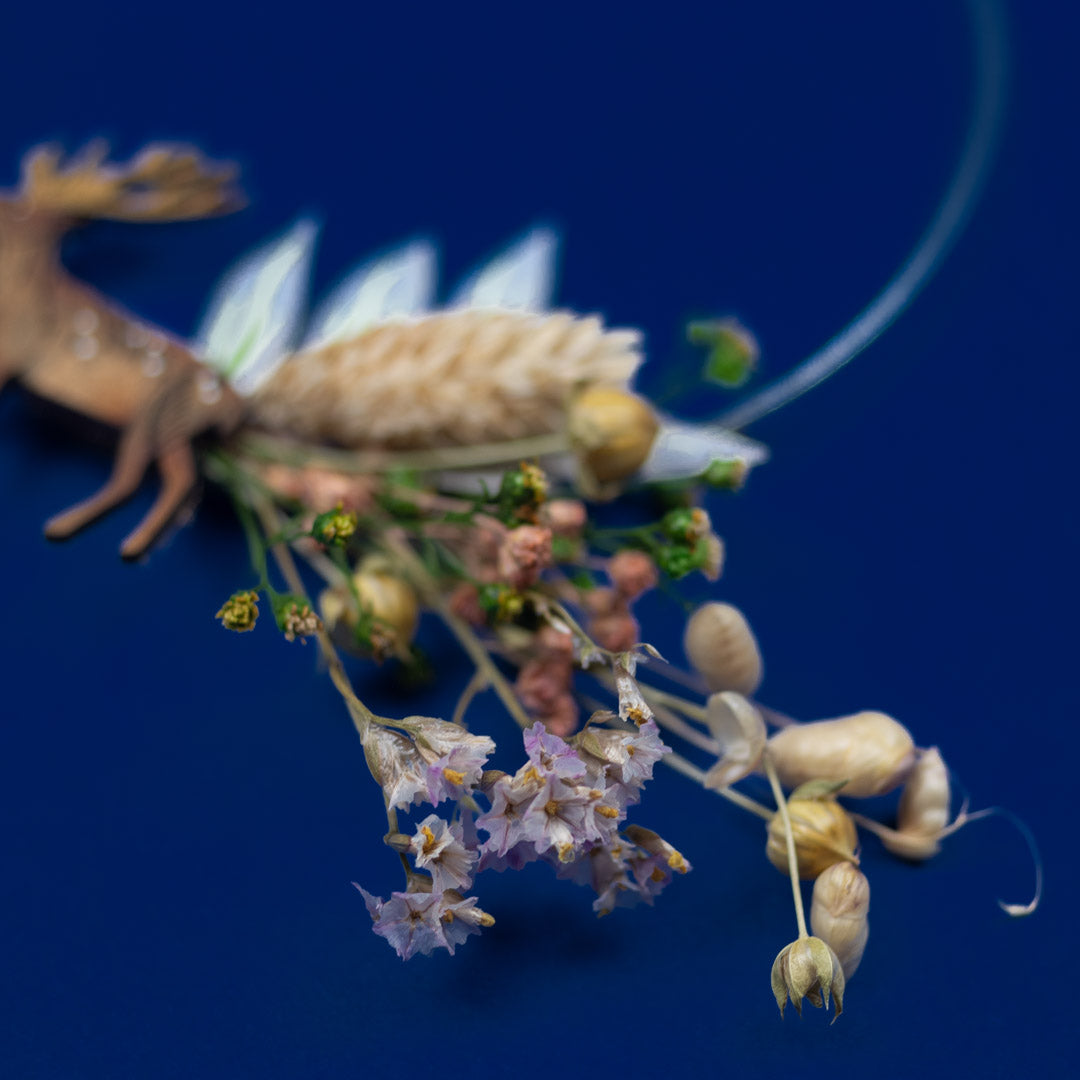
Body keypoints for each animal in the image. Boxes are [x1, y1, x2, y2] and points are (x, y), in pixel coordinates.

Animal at [0, 142, 248, 559]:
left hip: (153, 416)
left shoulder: (17, 347)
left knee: (133, 478)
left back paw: (81, 532)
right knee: (180, 476)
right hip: (171, 428)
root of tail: (231, 402)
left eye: (16, 209)